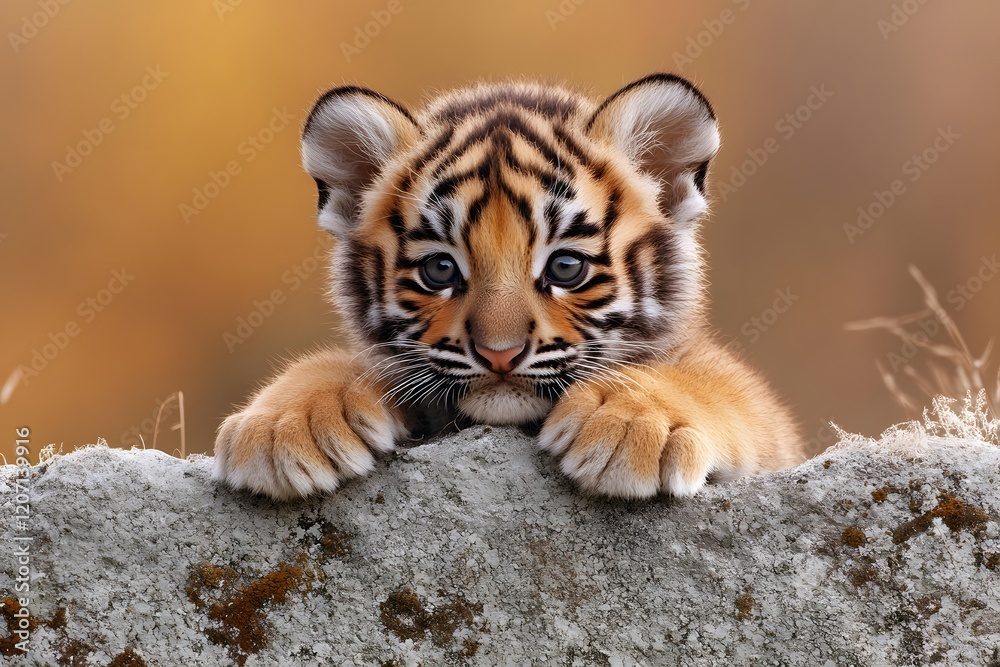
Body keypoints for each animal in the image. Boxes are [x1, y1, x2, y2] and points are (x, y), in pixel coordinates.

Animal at [212, 73, 805, 501]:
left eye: (566, 268)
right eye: (440, 270)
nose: (500, 354)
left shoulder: (779, 440)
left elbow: (716, 381)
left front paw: (634, 422)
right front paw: (283, 426)